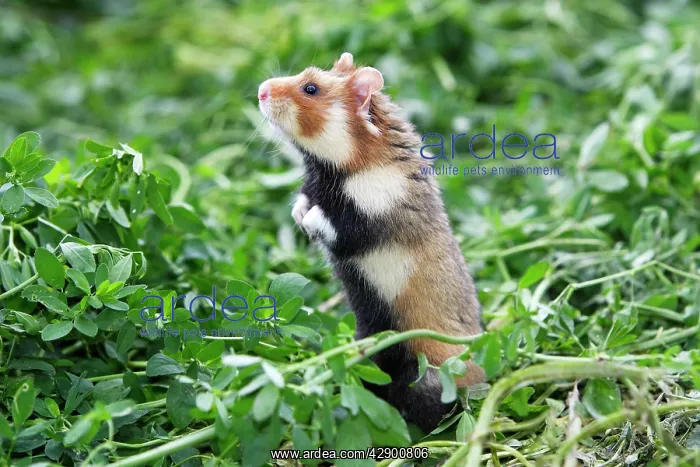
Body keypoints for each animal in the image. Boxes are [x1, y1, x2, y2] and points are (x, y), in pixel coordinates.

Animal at [258, 52, 485, 432]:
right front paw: (298, 213)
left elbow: (332, 223)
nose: (261, 90)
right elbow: (304, 200)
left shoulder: (369, 219)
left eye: (310, 88)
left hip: (430, 371)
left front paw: (309, 220)